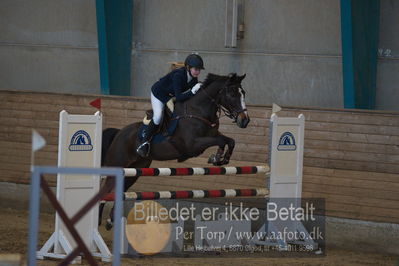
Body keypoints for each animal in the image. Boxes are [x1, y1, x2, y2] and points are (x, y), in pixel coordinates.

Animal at [100, 72, 250, 229]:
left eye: (243, 93)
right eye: (232, 94)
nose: (245, 121)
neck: (198, 110)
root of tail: (118, 133)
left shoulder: (213, 135)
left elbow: (230, 141)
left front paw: (222, 159)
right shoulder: (193, 145)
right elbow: (220, 142)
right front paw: (217, 157)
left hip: (135, 170)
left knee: (120, 190)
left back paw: (110, 221)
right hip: (117, 165)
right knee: (104, 192)